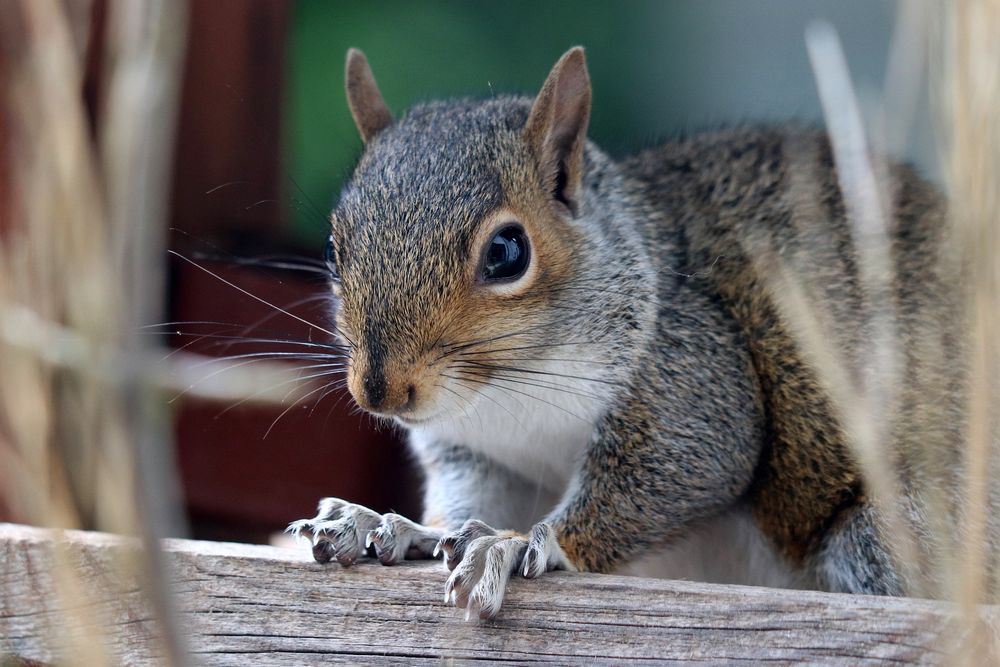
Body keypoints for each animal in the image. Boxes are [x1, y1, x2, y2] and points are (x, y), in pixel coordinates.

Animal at [288, 45, 976, 620]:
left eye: (508, 252)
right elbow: (468, 498)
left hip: (888, 534)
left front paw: (513, 544)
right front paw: (394, 526)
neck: (506, 395)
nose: (380, 391)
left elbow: (686, 465)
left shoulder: (689, 376)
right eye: (331, 247)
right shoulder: (477, 451)